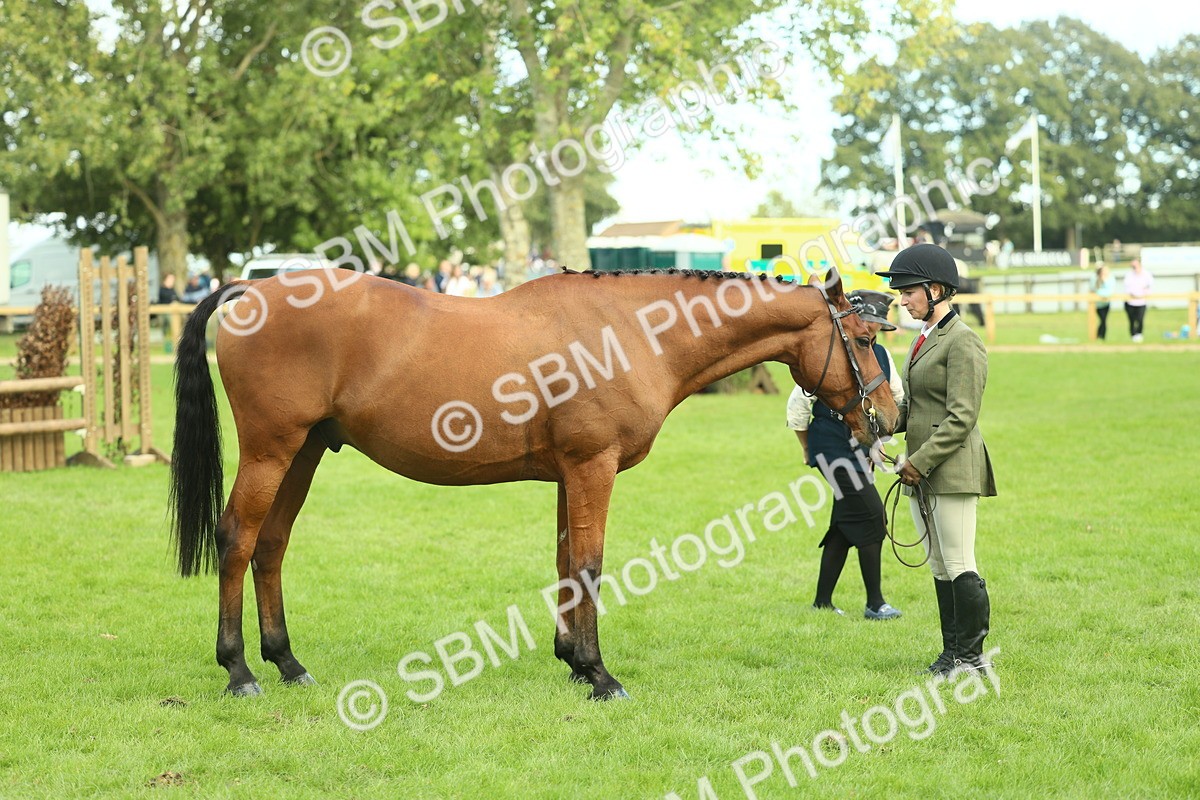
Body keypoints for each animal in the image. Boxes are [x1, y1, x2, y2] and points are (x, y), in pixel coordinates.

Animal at [169, 266, 899, 700]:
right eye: (864, 340)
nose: (889, 419)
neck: (627, 331)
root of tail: (252, 289)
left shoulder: (567, 475)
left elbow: (565, 563)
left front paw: (572, 660)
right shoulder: (592, 467)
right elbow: (591, 565)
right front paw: (601, 675)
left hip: (306, 451)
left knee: (272, 545)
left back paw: (287, 663)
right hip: (272, 450)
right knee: (237, 539)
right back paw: (239, 670)